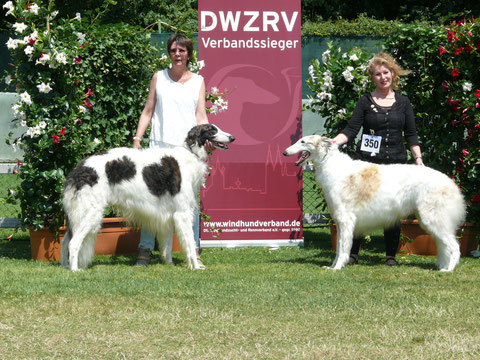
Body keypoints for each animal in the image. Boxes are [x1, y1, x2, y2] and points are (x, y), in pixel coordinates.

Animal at [62, 124, 234, 270]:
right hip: (91, 212)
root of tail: (80, 168)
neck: (191, 154)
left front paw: (170, 265)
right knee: (73, 242)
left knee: (64, 240)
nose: (232, 137)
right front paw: (195, 267)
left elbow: (167, 246)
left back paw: (65, 267)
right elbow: (190, 244)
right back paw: (75, 269)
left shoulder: (168, 215)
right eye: (212, 130)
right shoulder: (183, 213)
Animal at [284, 135, 464, 270]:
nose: (285, 152)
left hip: (433, 219)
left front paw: (337, 268)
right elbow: (339, 247)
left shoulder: (346, 219)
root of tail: (450, 182)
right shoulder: (339, 222)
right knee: (444, 246)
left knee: (455, 247)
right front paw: (333, 266)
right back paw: (442, 266)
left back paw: (448, 269)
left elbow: (342, 248)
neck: (332, 166)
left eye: (303, 141)